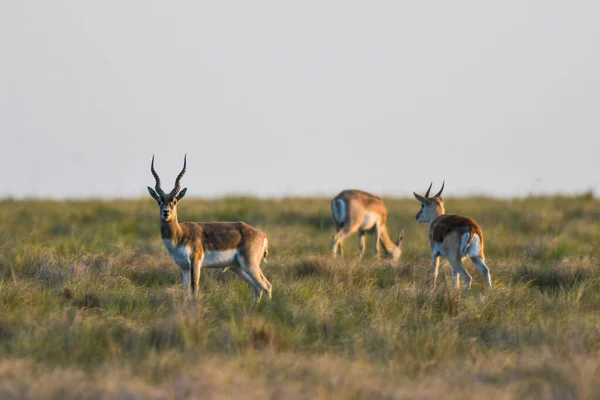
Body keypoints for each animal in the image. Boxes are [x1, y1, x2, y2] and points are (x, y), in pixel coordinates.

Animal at [147, 155, 272, 304]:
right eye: (159, 201)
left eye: (175, 201)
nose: (166, 212)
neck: (180, 234)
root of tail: (262, 234)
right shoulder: (183, 267)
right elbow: (186, 290)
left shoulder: (195, 262)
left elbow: (194, 287)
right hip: (238, 268)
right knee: (257, 288)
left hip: (250, 265)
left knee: (266, 286)